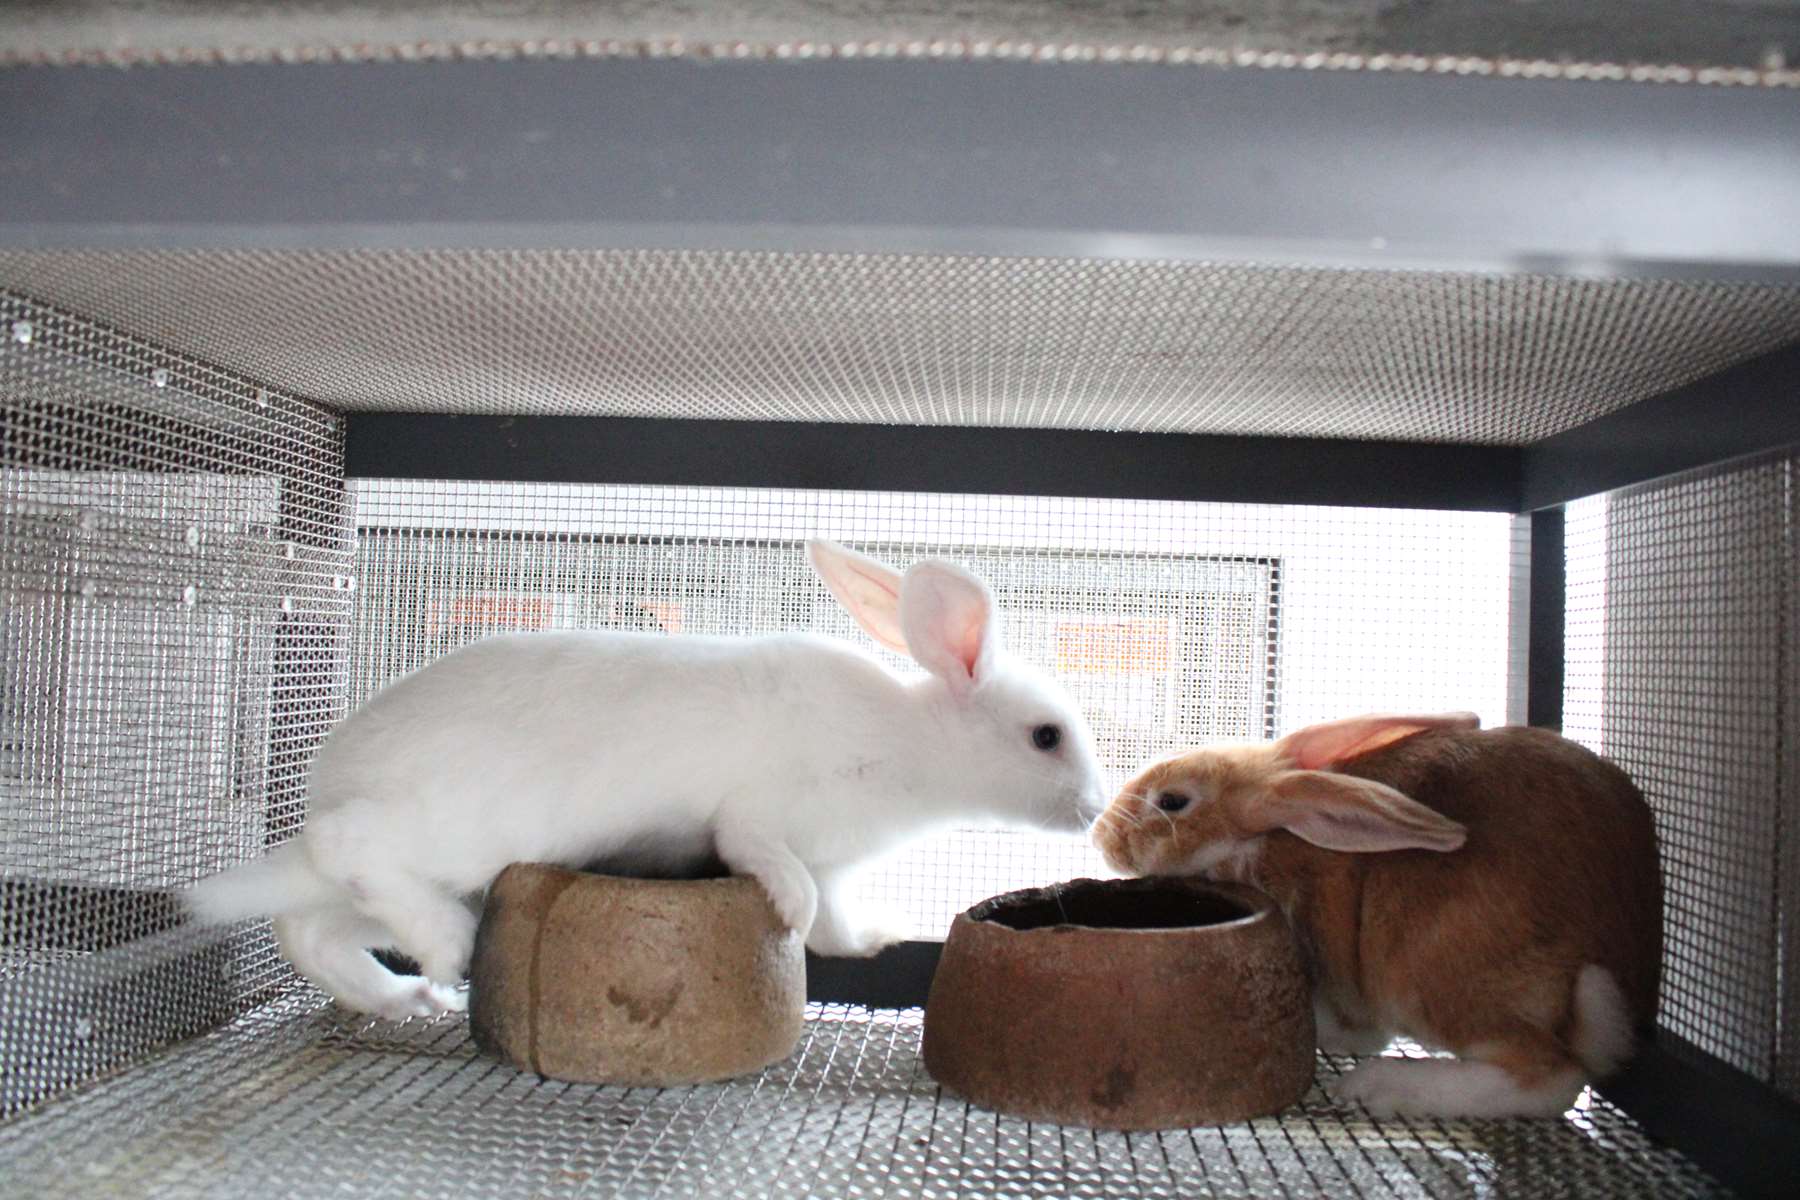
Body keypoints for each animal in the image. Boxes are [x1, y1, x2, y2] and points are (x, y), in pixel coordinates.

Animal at [184, 540, 1110, 1021]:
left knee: (307, 932)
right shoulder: (763, 817)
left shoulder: (838, 864)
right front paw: (789, 908)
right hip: (441, 831)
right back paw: (445, 950)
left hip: (366, 895)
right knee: (351, 849)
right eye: (1046, 736)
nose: (1097, 810)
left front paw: (876, 937)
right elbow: (772, 866)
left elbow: (837, 926)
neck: (910, 743)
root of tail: (327, 789)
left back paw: (405, 998)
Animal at [1092, 712, 1662, 1119]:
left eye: (1172, 801)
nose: (1101, 835)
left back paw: (1380, 1085)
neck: (1266, 837)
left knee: (1552, 1075)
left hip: (1430, 976)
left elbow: (1349, 1030)